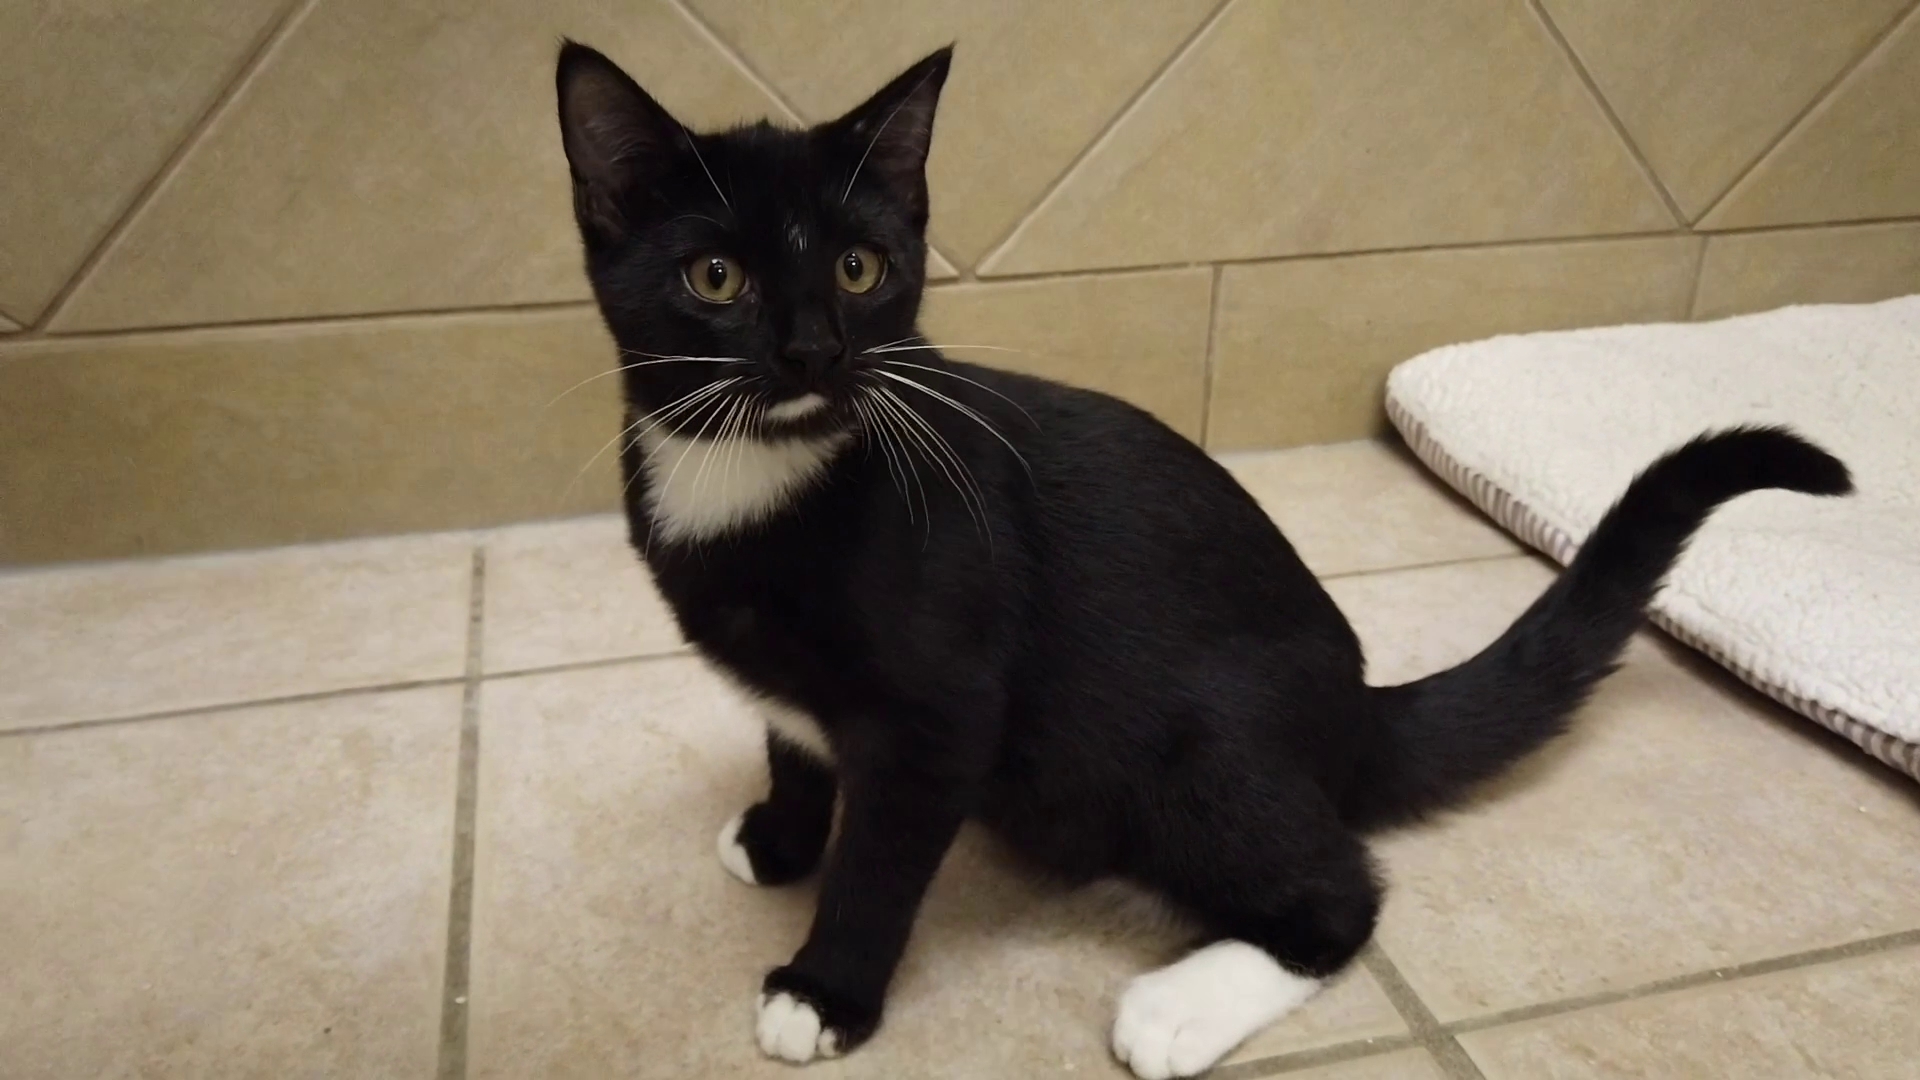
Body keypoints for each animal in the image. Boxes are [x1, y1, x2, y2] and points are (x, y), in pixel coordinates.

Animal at [552, 37, 1843, 1068]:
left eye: (859, 268)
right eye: (715, 275)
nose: (814, 351)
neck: (759, 476)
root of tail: (1354, 711)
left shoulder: (940, 711)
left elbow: (882, 859)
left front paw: (823, 991)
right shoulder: (796, 683)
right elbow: (793, 739)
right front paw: (778, 835)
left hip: (1191, 745)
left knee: (1338, 893)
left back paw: (1180, 1006)